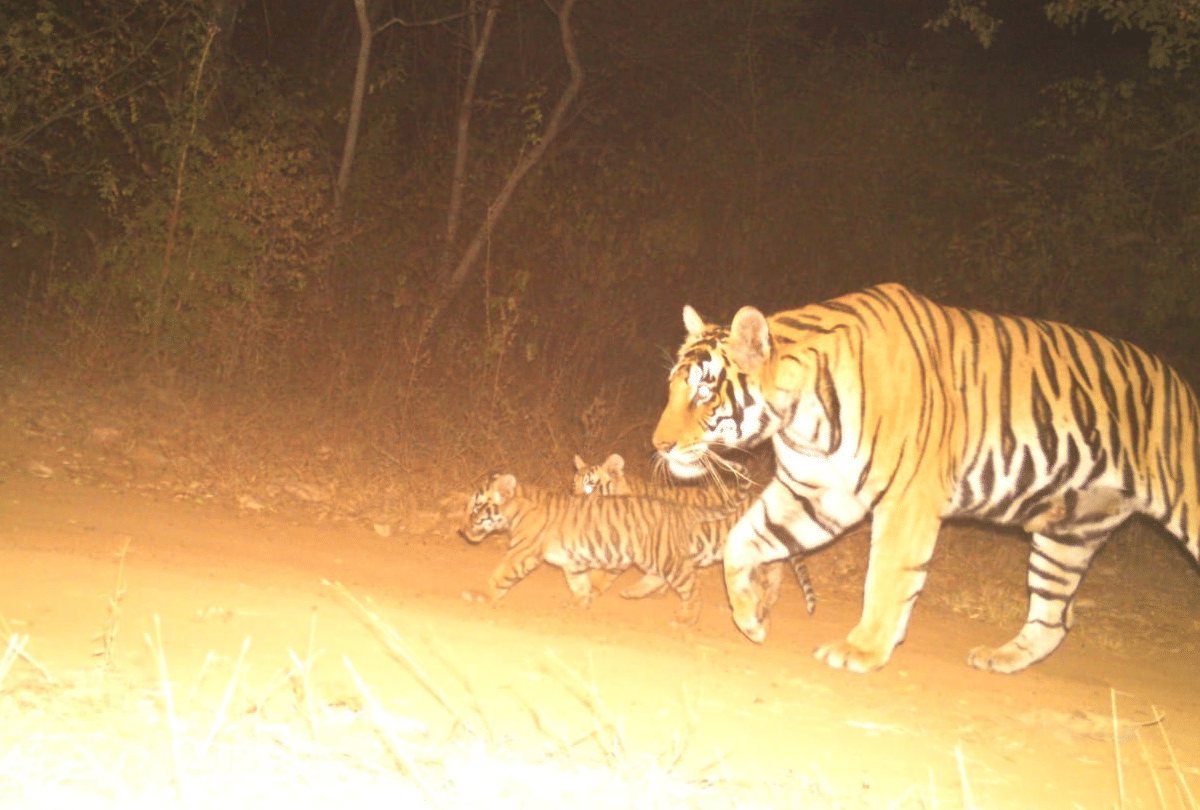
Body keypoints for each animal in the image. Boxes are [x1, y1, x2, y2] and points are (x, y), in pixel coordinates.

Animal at [460, 472, 740, 626]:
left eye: (475, 508)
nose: (461, 531)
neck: (515, 512)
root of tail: (681, 509)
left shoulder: (521, 552)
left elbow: (499, 576)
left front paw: (480, 595)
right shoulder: (572, 563)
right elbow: (580, 584)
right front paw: (579, 604)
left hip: (666, 558)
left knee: (693, 587)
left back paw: (685, 620)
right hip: (652, 557)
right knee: (657, 578)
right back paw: (631, 592)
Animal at [572, 452, 819, 615]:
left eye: (589, 486)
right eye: (573, 484)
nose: (572, 501)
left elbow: (604, 571)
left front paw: (592, 589)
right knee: (775, 578)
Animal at [652, 282, 1200, 674]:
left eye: (704, 393)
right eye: (674, 387)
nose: (659, 445)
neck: (801, 418)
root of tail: (1183, 384)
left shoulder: (906, 499)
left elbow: (887, 576)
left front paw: (863, 649)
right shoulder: (818, 492)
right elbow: (742, 540)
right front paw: (750, 618)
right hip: (1067, 534)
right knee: (1053, 620)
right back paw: (1000, 658)